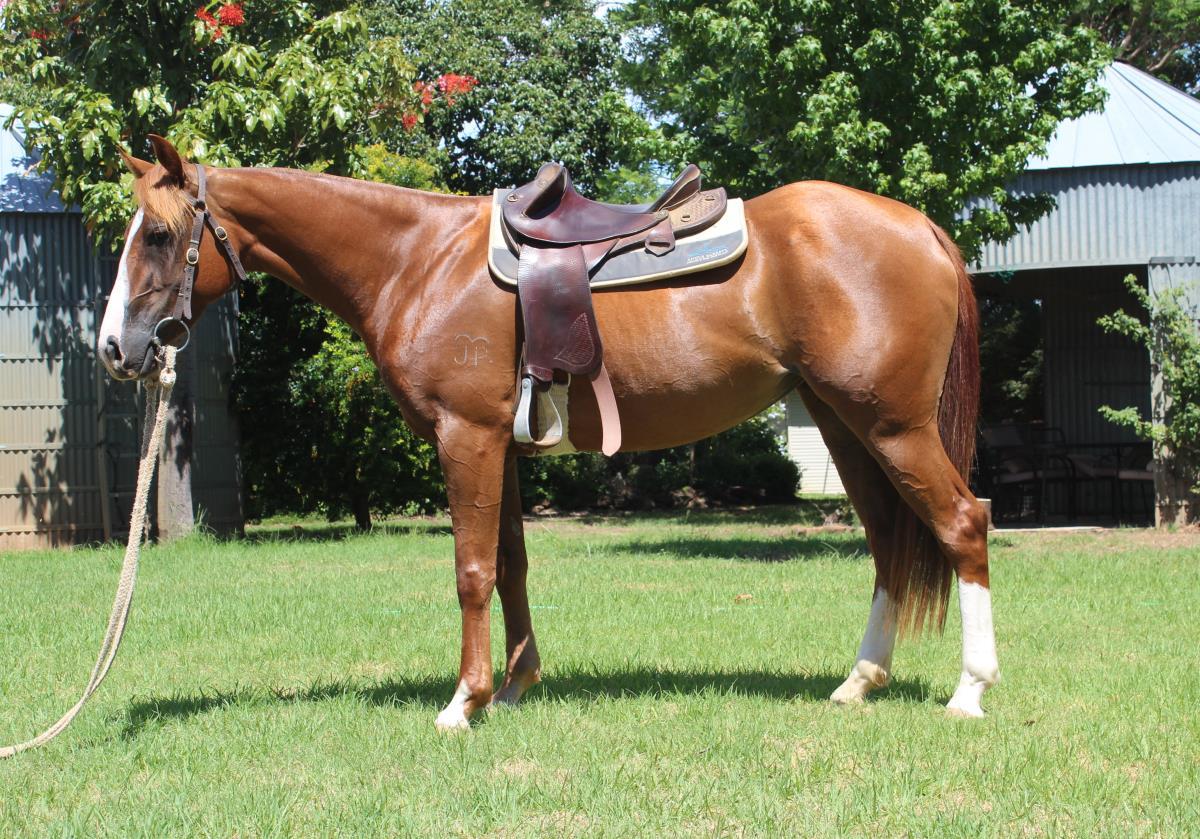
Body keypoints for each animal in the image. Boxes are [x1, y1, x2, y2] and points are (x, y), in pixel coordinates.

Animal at [99, 135, 999, 731]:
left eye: (157, 235)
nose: (115, 348)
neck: (417, 261)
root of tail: (920, 226)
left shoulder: (466, 438)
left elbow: (470, 571)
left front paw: (463, 702)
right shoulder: (498, 444)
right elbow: (510, 568)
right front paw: (517, 683)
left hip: (892, 426)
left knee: (963, 524)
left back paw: (969, 690)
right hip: (849, 427)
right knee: (889, 543)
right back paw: (859, 681)